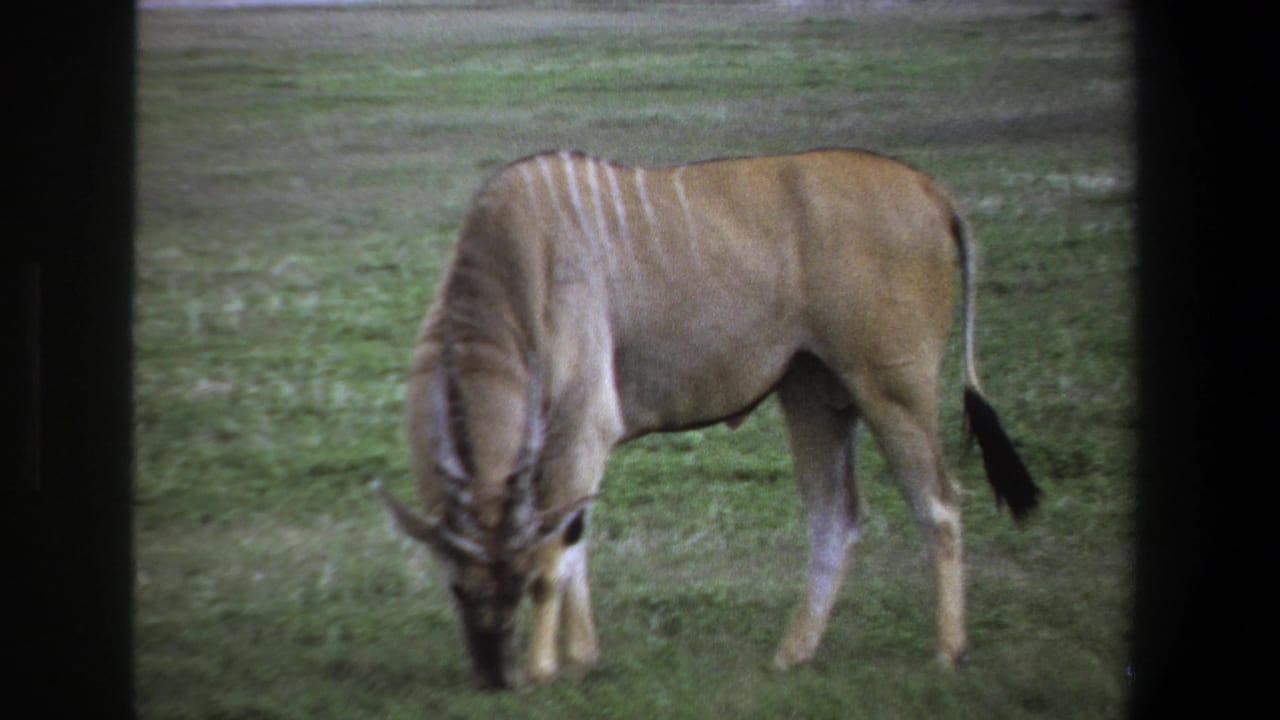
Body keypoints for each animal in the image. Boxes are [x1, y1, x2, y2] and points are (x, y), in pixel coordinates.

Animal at [374, 148, 1039, 689]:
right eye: (458, 586)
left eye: (508, 584)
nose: (492, 675)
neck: (518, 266)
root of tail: (930, 190)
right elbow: (574, 544)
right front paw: (584, 659)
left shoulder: (582, 430)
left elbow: (553, 557)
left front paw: (546, 669)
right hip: (814, 394)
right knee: (836, 516)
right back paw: (791, 655)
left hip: (891, 388)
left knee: (939, 503)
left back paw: (948, 652)